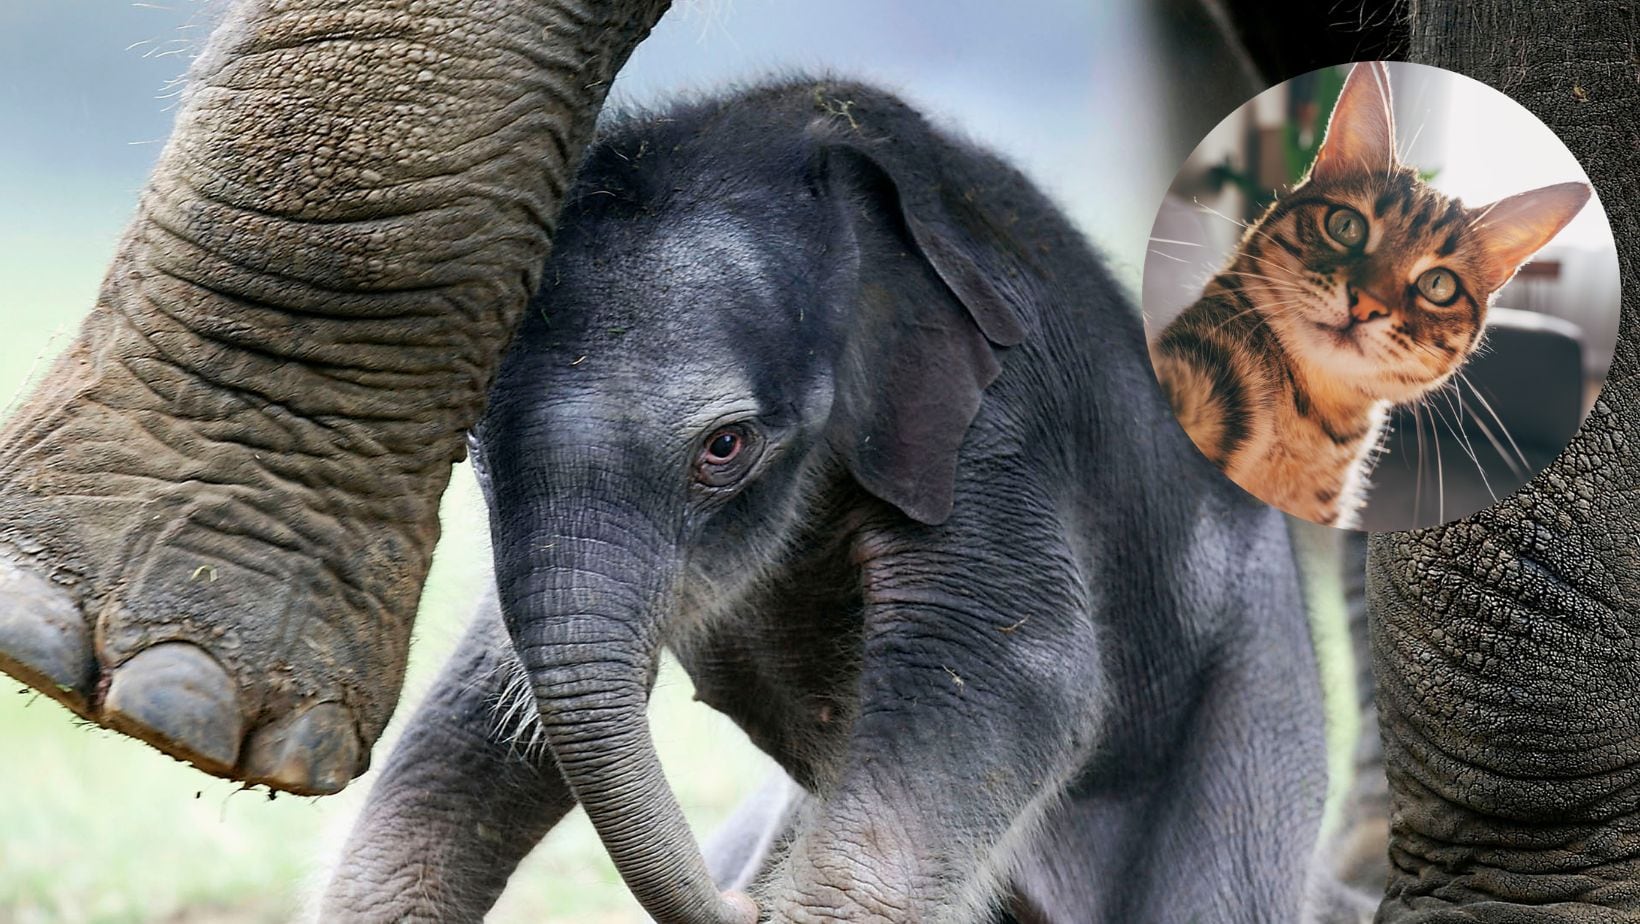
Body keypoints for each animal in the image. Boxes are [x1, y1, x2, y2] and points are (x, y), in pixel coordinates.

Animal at [319, 78, 1354, 923]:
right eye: (469, 441)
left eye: (725, 447)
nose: (743, 903)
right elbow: (484, 705)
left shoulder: (997, 425)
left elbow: (1013, 675)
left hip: (1253, 719)